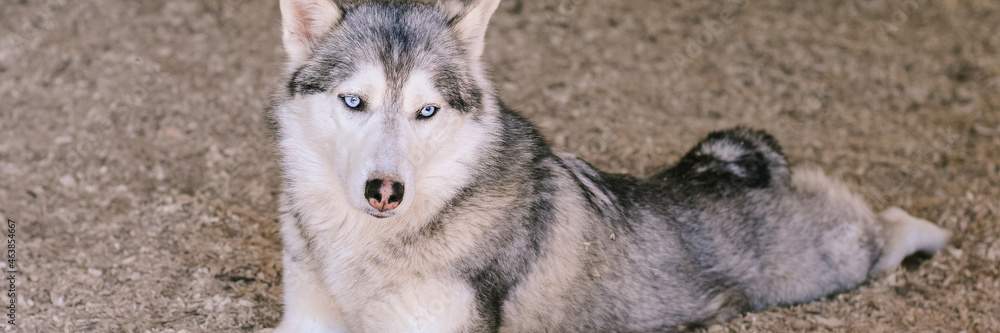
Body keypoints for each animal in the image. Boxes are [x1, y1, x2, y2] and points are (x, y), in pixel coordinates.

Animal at [268, 0, 952, 330]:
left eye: (426, 111)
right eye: (353, 101)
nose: (386, 191)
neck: (365, 247)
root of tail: (733, 164)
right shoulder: (306, 322)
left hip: (834, 261)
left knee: (890, 224)